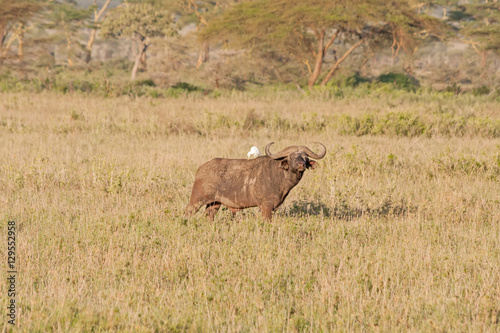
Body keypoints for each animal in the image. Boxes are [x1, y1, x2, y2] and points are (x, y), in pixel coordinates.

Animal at [186, 141, 326, 219]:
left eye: (305, 157)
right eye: (291, 157)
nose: (301, 165)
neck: (279, 174)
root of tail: (201, 169)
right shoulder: (266, 207)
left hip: (214, 204)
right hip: (196, 200)